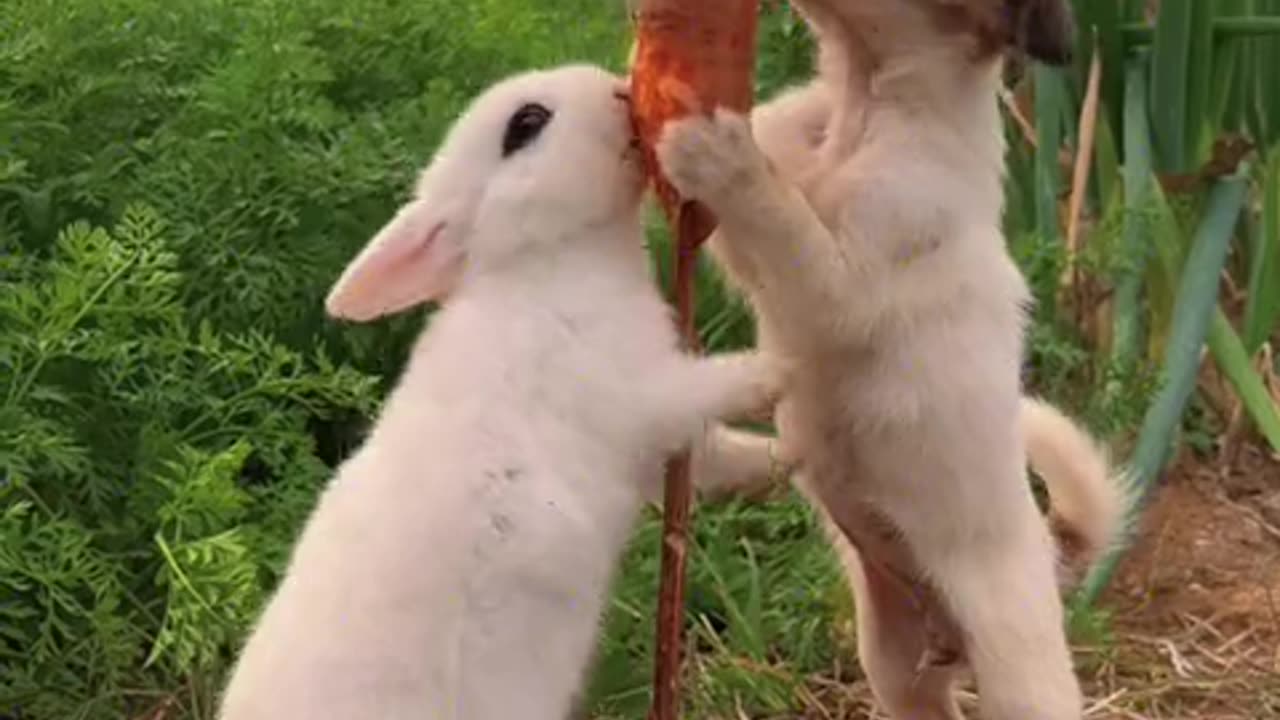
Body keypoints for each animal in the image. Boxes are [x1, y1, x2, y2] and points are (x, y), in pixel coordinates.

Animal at [215, 63, 783, 717]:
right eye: (526, 123)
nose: (618, 88)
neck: (547, 257)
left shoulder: (659, 449)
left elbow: (718, 453)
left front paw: (781, 461)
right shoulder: (640, 394)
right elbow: (706, 388)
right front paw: (779, 369)